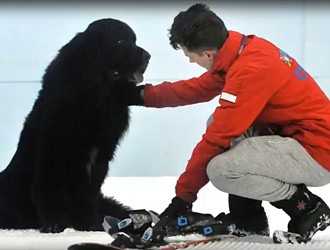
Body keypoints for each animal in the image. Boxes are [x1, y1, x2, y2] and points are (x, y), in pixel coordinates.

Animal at [0, 18, 150, 233]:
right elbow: (53, 192)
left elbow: (87, 196)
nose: (148, 56)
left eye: (134, 40)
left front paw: (88, 225)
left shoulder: (99, 159)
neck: (98, 95)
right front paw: (54, 225)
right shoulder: (55, 153)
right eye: (121, 41)